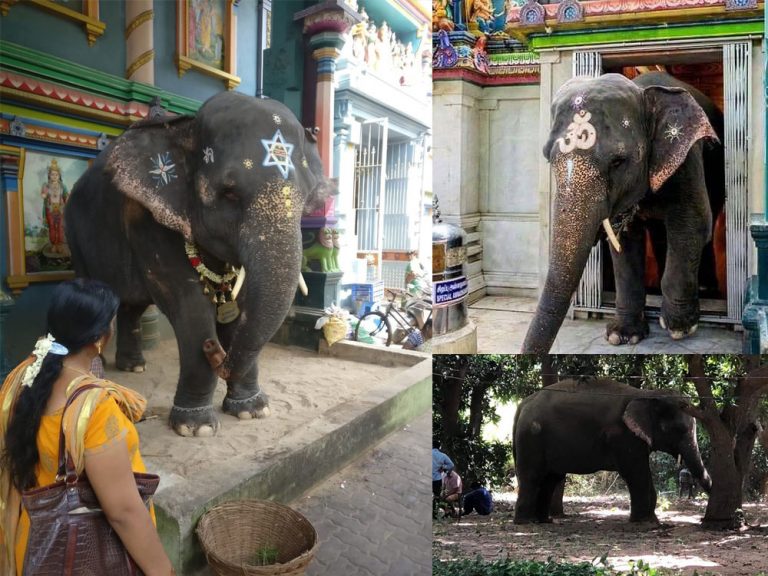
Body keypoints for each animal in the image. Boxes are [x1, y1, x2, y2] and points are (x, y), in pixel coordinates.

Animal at [64, 92, 335, 437]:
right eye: (229, 193)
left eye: (305, 198)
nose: (214, 349)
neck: (185, 127)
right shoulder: (150, 219)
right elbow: (189, 304)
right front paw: (196, 428)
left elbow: (241, 302)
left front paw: (252, 410)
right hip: (75, 235)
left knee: (131, 306)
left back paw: (134, 366)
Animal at [512, 379, 711, 523]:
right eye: (679, 429)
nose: (701, 519)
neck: (646, 394)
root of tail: (522, 405)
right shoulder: (624, 436)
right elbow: (636, 473)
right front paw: (644, 523)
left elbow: (642, 474)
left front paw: (653, 521)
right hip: (531, 438)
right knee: (532, 476)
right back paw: (526, 522)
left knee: (550, 478)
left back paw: (544, 521)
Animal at [521, 72, 724, 353]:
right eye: (547, 158)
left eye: (618, 161)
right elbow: (624, 241)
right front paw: (622, 336)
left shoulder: (685, 157)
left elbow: (692, 224)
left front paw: (680, 328)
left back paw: (704, 290)